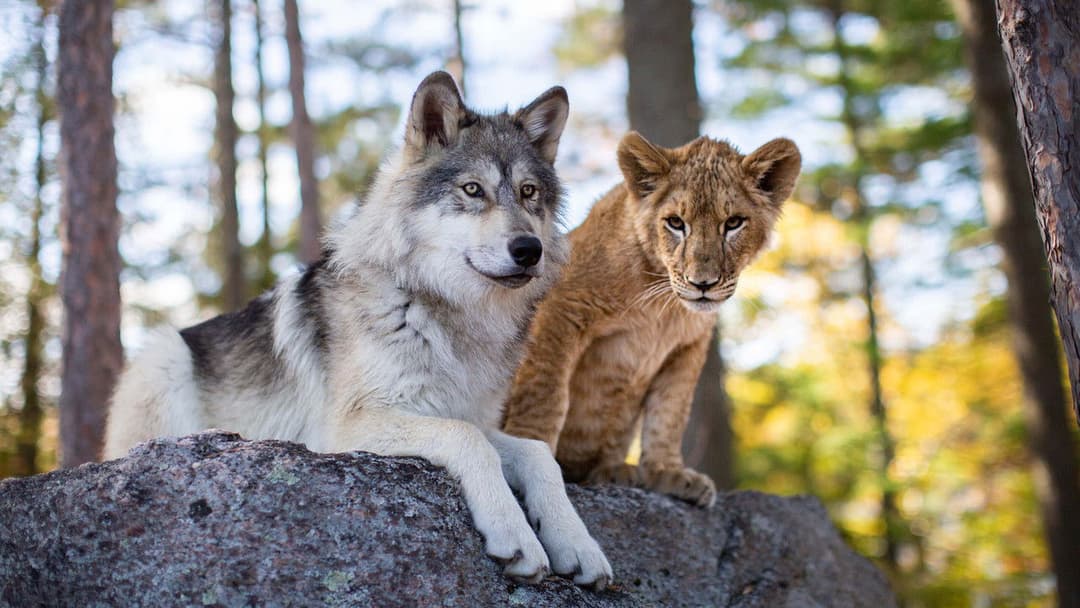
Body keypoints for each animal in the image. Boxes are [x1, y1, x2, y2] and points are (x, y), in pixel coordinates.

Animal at [103, 71, 612, 589]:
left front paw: (578, 545)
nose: (529, 250)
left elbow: (537, 454)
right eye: (473, 189)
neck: (445, 312)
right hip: (163, 356)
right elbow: (467, 440)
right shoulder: (348, 427)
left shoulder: (468, 414)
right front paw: (516, 535)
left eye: (529, 193)